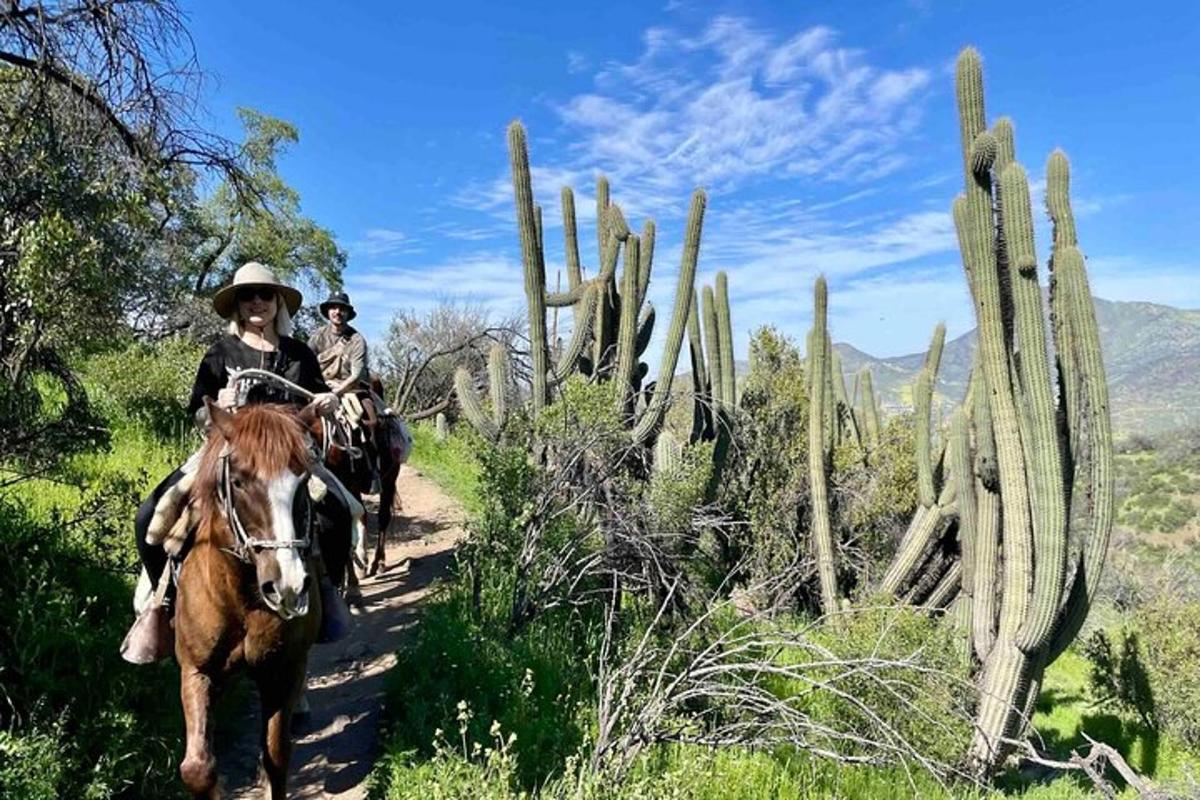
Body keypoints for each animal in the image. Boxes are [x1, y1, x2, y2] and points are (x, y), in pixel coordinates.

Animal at [174, 402, 324, 796]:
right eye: (239, 481)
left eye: (303, 481)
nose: (288, 585)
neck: (240, 601)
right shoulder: (196, 671)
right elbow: (197, 768)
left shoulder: (283, 669)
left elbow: (276, 754)